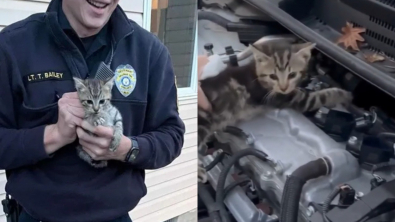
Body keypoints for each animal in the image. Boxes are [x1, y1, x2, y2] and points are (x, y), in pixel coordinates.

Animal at [200, 42, 354, 182]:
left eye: (292, 74)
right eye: (273, 76)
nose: (283, 87)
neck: (258, 75)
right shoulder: (294, 99)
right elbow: (321, 96)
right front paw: (343, 94)